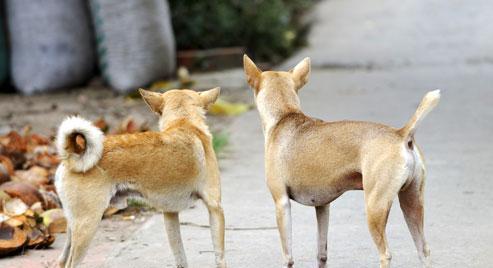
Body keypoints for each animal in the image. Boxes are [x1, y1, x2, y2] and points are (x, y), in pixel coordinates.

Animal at [54, 88, 227, 268]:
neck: (184, 123)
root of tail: (73, 156)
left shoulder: (170, 214)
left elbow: (180, 256)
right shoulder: (215, 208)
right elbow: (219, 255)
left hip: (74, 226)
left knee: (61, 260)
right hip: (88, 225)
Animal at [242, 55, 438, 268]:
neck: (285, 115)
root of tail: (401, 134)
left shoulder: (282, 203)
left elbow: (288, 257)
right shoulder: (322, 207)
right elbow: (321, 253)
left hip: (375, 208)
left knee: (385, 254)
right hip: (412, 204)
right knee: (424, 250)